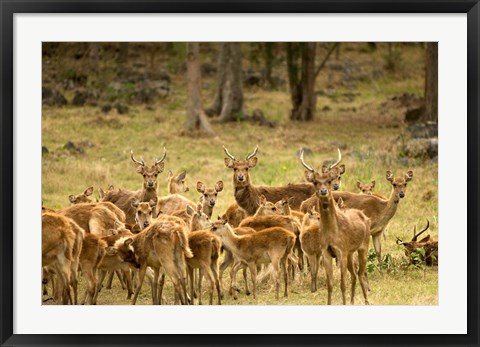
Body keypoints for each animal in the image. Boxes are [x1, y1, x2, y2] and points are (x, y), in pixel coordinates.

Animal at [300, 152, 372, 304]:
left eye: (329, 180)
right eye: (315, 182)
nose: (323, 191)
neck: (332, 233)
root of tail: (364, 216)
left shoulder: (341, 251)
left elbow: (342, 284)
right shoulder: (326, 252)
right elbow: (330, 284)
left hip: (363, 246)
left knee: (360, 273)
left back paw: (366, 301)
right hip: (350, 253)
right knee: (355, 274)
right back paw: (352, 301)